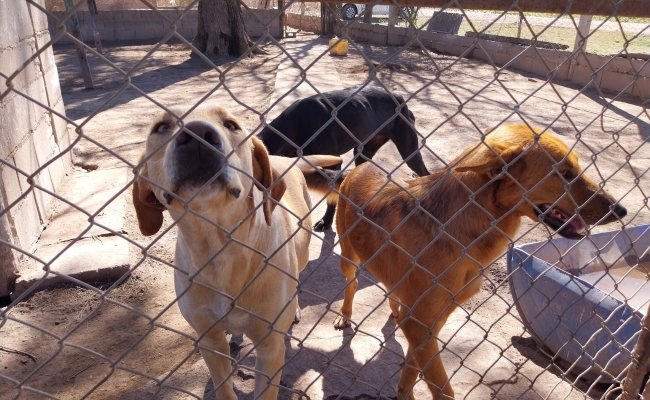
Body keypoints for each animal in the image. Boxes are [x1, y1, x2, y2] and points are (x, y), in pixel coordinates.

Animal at [133, 105, 340, 400]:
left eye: (231, 124)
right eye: (161, 128)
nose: (198, 135)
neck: (221, 250)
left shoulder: (270, 348)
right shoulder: (209, 341)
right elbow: (224, 387)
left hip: (300, 255)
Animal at [256, 86, 428, 231]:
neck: (294, 127)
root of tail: (400, 98)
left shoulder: (333, 162)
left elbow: (331, 197)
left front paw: (326, 221)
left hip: (409, 152)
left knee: (424, 172)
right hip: (363, 153)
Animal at [332, 123, 624, 398]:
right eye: (564, 174)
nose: (620, 210)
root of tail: (362, 166)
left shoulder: (432, 321)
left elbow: (413, 368)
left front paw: (405, 391)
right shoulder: (421, 323)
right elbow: (441, 387)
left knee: (392, 292)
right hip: (348, 257)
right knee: (352, 283)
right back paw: (344, 316)